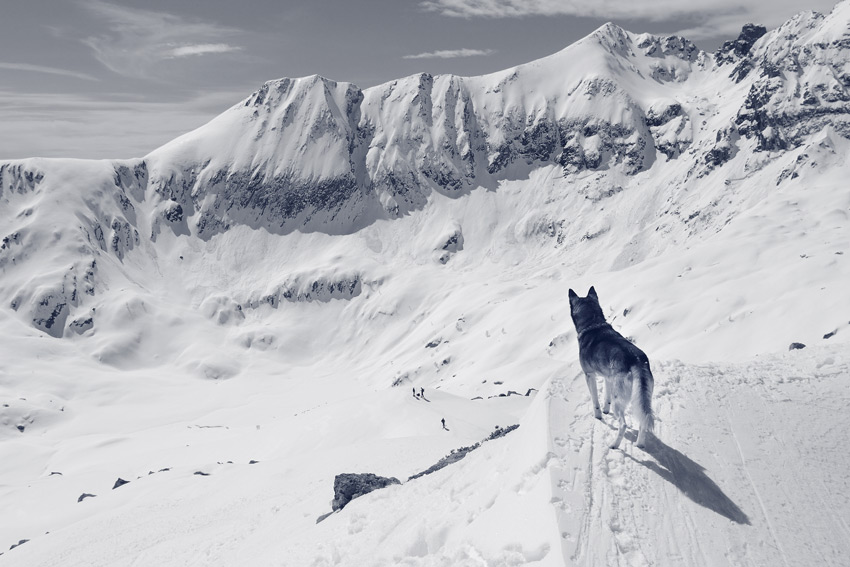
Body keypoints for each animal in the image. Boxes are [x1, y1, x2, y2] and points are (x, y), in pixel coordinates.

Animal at [568, 288, 656, 448]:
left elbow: (595, 400)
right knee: (643, 422)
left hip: (619, 399)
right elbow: (606, 397)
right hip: (642, 397)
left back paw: (614, 445)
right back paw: (639, 445)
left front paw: (598, 415)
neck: (593, 324)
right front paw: (606, 411)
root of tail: (636, 360)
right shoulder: (608, 376)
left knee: (623, 424)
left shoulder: (589, 375)